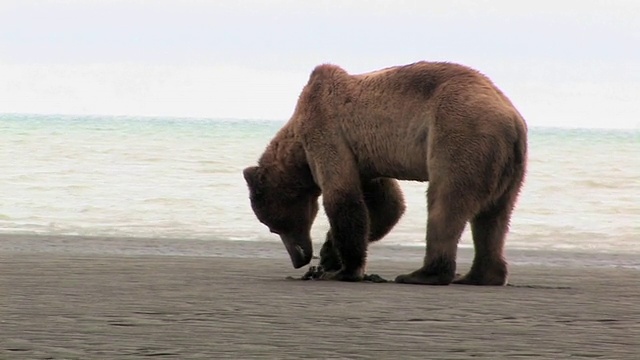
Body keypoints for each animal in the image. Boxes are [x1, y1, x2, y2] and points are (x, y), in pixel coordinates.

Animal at [242, 62, 528, 286]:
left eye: (274, 226)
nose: (299, 261)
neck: (298, 146)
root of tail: (513, 120)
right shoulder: (365, 159)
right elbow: (386, 206)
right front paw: (329, 255)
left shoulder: (328, 133)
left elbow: (343, 198)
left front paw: (344, 270)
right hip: (507, 167)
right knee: (493, 218)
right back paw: (480, 275)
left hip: (459, 135)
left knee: (445, 205)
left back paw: (423, 274)